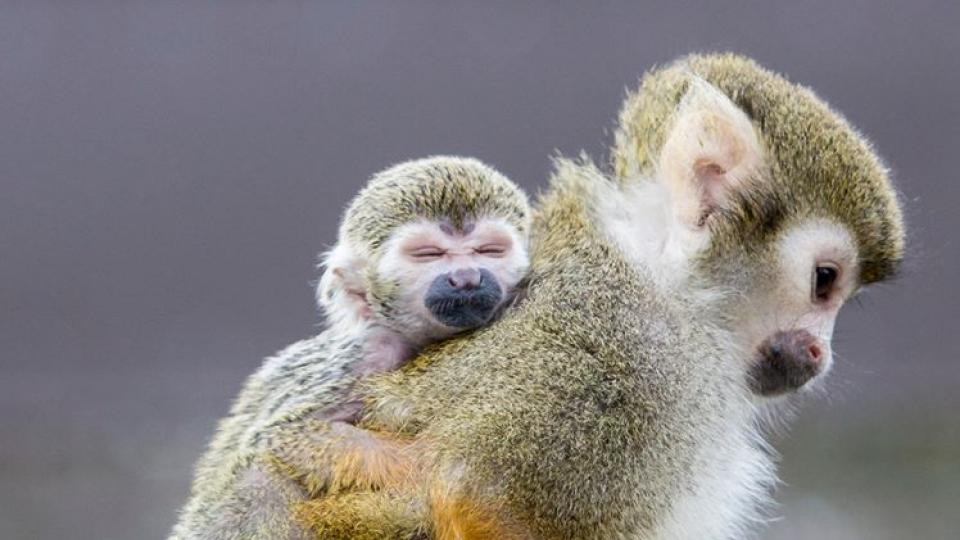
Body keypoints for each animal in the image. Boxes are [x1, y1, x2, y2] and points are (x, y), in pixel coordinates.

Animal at [168, 155, 532, 540]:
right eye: (427, 254)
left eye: (489, 250)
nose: (466, 278)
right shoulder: (370, 352)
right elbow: (283, 436)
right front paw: (424, 465)